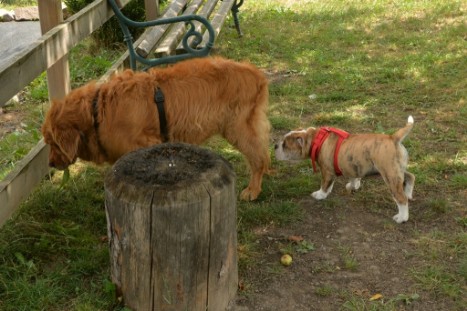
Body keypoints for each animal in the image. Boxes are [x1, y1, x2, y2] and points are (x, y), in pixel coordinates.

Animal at [43, 57, 274, 201]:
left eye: (52, 143)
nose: (50, 164)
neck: (97, 111)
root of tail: (256, 73)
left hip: (239, 129)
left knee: (259, 158)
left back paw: (253, 190)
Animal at [276, 117, 414, 224]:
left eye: (285, 145)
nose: (275, 145)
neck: (316, 139)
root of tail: (393, 137)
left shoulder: (327, 171)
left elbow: (325, 184)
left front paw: (321, 194)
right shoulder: (350, 166)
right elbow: (351, 178)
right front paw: (352, 186)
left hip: (390, 175)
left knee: (401, 198)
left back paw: (402, 217)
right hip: (397, 170)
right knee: (410, 176)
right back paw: (408, 193)